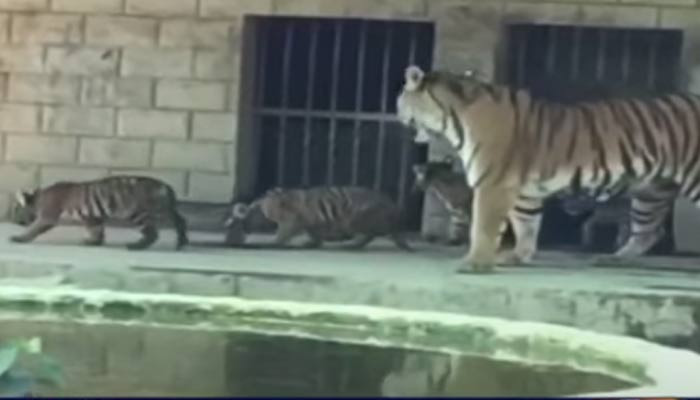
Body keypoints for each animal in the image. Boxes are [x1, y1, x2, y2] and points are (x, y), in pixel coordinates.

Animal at [8, 176, 189, 250]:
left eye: (15, 210)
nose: (12, 219)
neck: (39, 197)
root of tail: (165, 185)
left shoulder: (47, 217)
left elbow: (33, 229)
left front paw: (19, 238)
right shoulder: (92, 217)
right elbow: (97, 231)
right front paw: (94, 242)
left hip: (140, 214)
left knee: (153, 233)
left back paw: (136, 246)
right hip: (163, 211)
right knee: (181, 221)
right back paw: (181, 242)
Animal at [400, 65, 688, 272]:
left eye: (400, 97)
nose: (398, 113)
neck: (452, 118)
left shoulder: (492, 182)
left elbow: (484, 225)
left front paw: (474, 263)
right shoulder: (524, 190)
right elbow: (526, 223)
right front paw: (517, 256)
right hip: (651, 191)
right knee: (649, 231)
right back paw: (615, 259)